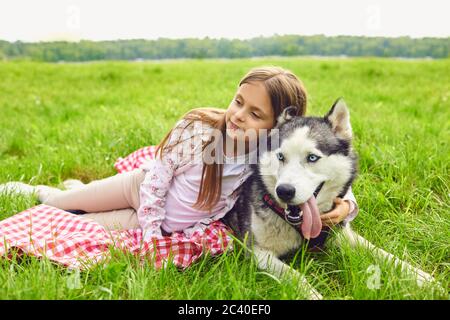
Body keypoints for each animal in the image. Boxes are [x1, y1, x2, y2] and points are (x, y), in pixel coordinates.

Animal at [223, 99, 442, 300]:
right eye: (280, 157)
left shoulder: (344, 234)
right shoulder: (258, 251)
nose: (284, 191)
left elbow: (382, 253)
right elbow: (295, 275)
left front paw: (422, 278)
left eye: (312, 158)